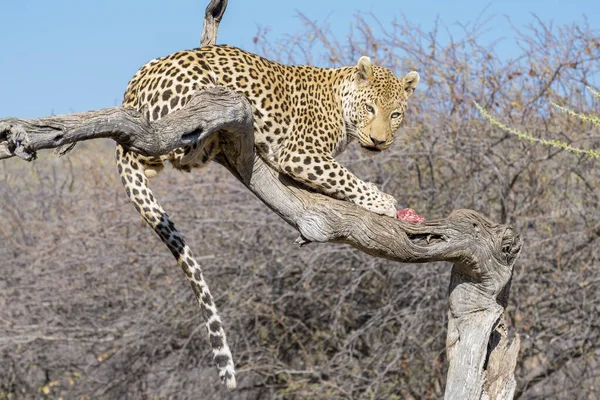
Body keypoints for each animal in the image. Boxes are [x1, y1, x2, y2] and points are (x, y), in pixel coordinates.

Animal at [116, 44, 418, 390]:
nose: (379, 141)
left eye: (395, 115)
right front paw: (383, 201)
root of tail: (131, 93)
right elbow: (344, 176)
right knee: (175, 149)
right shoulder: (302, 153)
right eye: (369, 108)